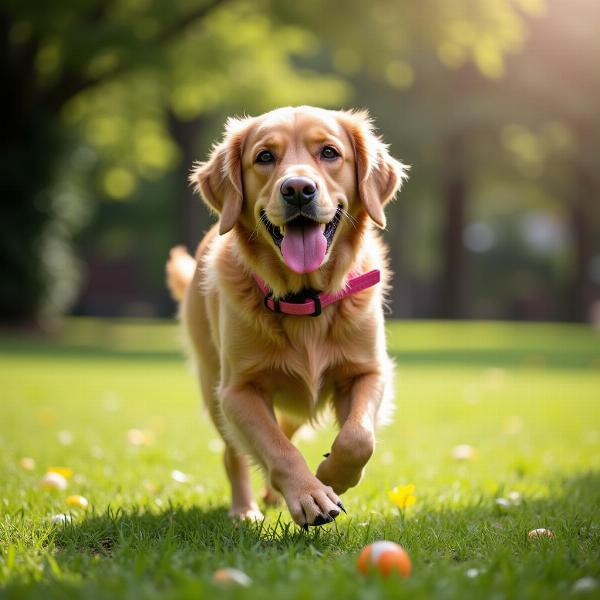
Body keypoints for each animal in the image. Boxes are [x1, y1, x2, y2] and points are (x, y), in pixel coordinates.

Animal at [165, 105, 408, 528]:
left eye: (329, 152)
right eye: (264, 156)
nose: (297, 189)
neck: (304, 299)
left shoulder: (369, 372)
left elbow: (358, 437)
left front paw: (331, 475)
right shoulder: (238, 391)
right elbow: (276, 449)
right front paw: (310, 494)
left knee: (288, 429)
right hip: (214, 387)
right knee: (237, 453)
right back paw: (245, 508)